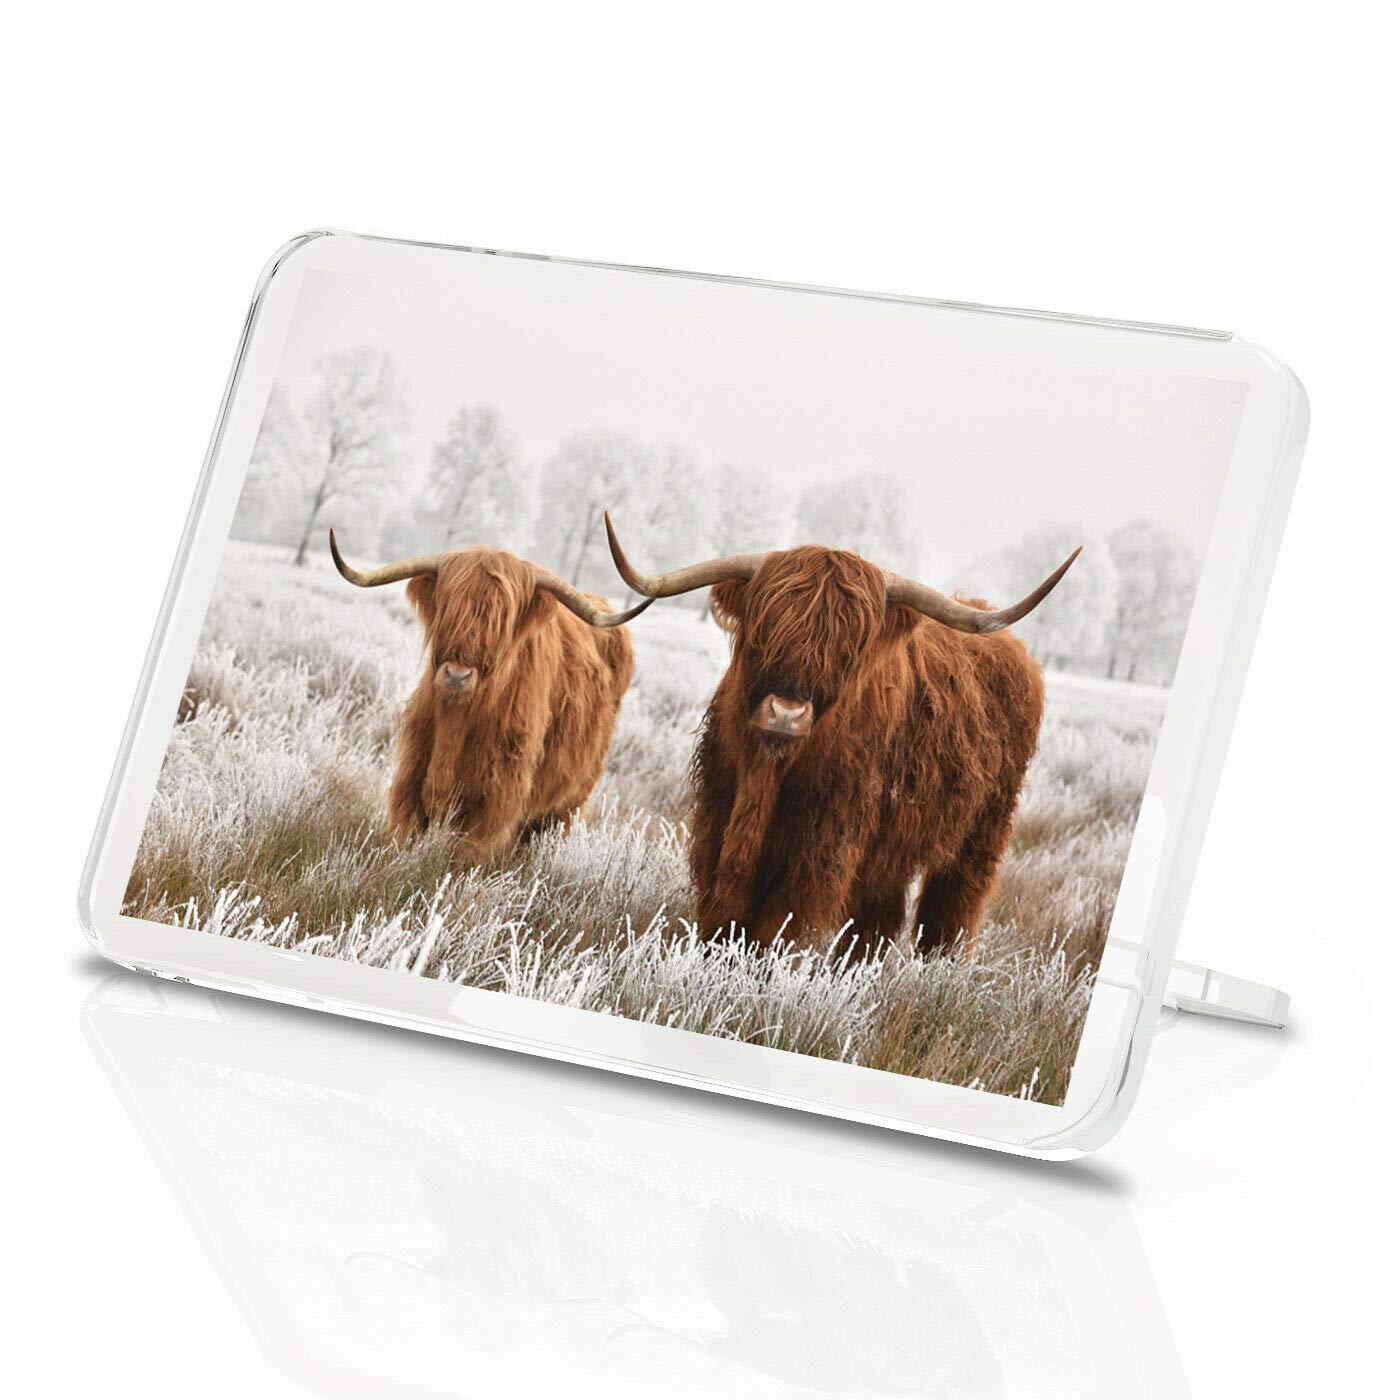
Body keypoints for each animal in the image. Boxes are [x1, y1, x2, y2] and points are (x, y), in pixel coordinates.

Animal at [330, 529, 648, 863]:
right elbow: (403, 836)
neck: (456, 721)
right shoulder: (411, 774)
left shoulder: (498, 796)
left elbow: (464, 856)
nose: (457, 675)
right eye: (449, 606)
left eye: (501, 619)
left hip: (570, 800)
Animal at [604, 513, 1078, 955]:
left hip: (980, 835)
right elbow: (722, 918)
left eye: (848, 651)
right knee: (878, 920)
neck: (765, 772)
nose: (786, 713)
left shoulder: (823, 847)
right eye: (764, 631)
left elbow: (777, 927)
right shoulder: (716, 819)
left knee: (950, 913)